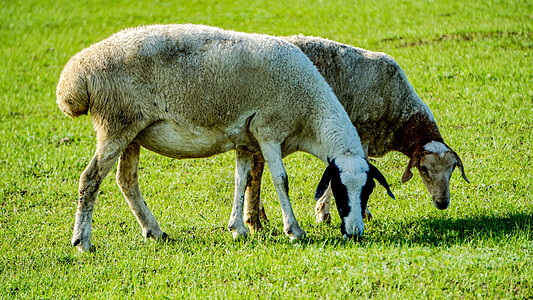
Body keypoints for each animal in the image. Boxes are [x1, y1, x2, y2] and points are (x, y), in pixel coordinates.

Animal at [57, 24, 394, 252]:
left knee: (126, 181)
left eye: (368, 190)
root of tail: (76, 77)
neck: (309, 114)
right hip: (116, 124)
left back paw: (155, 231)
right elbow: (281, 179)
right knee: (90, 178)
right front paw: (294, 230)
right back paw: (82, 241)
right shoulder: (268, 129)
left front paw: (238, 229)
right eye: (338, 188)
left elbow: (241, 180)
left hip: (132, 132)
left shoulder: (245, 139)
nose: (354, 233)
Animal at [243, 35, 468, 232]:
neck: (398, 109)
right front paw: (334, 213)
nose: (442, 203)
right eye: (424, 169)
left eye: (452, 170)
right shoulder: (360, 136)